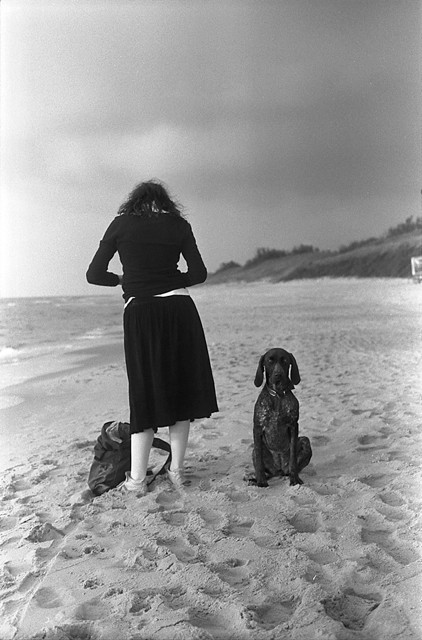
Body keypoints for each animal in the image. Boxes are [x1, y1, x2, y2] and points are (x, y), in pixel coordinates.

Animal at [246, 348, 312, 488]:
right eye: (269, 361)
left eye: (285, 361)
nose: (278, 375)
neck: (277, 395)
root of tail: (279, 470)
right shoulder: (257, 428)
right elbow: (259, 463)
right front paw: (261, 481)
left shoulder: (293, 426)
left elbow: (293, 458)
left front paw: (294, 479)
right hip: (255, 449)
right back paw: (255, 479)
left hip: (305, 440)